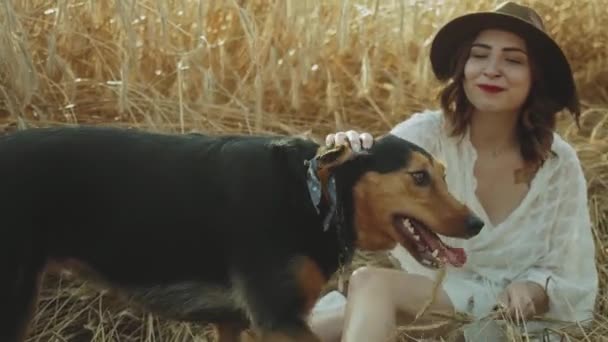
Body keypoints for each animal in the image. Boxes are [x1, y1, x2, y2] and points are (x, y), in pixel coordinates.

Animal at [0, 126, 484, 342]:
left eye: (443, 175)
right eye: (419, 178)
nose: (477, 223)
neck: (316, 198)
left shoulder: (235, 322)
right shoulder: (280, 320)